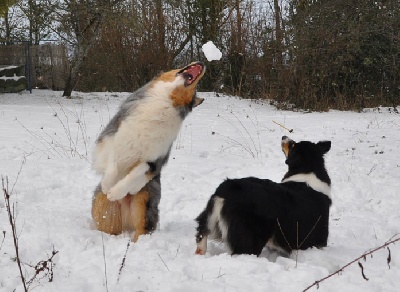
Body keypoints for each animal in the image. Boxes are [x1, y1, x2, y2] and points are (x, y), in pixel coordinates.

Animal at [92, 61, 205, 242]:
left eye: (195, 91)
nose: (202, 63)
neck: (165, 101)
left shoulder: (152, 161)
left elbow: (134, 175)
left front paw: (115, 192)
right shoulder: (113, 140)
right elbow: (113, 166)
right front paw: (108, 185)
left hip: (144, 204)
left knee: (140, 231)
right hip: (101, 207)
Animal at [196, 136, 332, 256]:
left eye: (293, 145)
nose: (284, 136)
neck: (308, 170)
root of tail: (228, 187)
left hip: (208, 218)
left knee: (201, 234)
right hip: (250, 237)